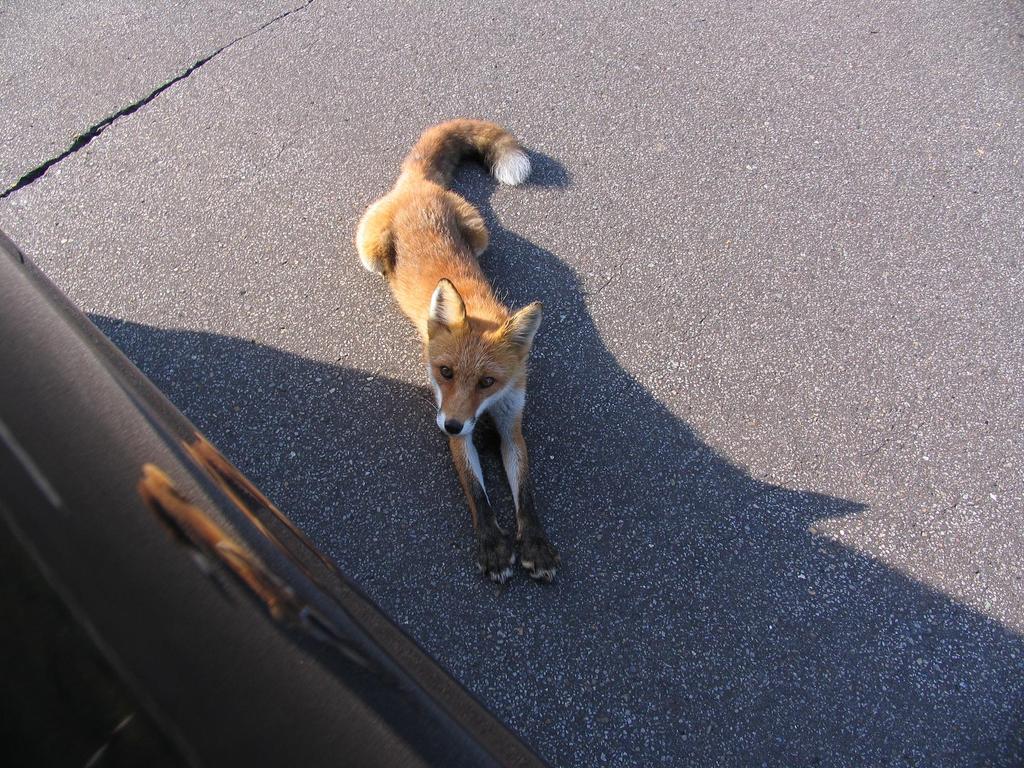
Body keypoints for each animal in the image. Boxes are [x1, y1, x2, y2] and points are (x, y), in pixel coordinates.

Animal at [354, 120, 561, 581]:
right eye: (445, 372)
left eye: (487, 381)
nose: (449, 426)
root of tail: (418, 184)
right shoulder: (450, 418)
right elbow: (476, 492)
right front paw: (493, 546)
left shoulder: (510, 421)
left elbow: (526, 491)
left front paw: (535, 545)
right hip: (370, 254)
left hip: (481, 236)